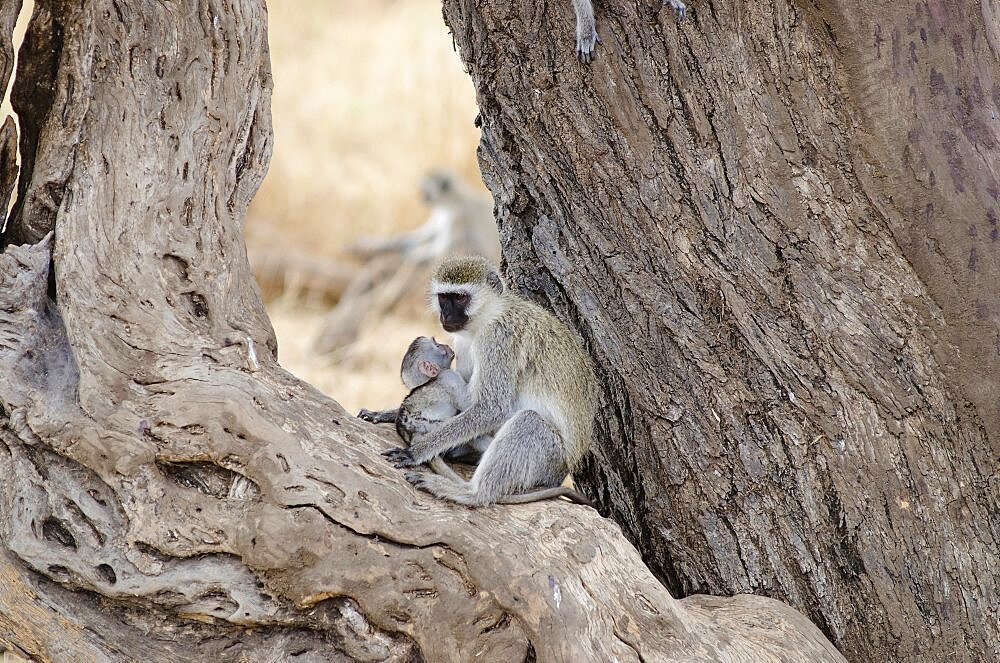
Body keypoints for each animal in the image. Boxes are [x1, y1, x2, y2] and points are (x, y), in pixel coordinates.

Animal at [360, 340, 592, 506]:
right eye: (437, 346)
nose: (447, 346)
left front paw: (381, 414)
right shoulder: (450, 377)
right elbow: (489, 408)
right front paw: (414, 452)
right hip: (551, 458)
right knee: (528, 420)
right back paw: (473, 494)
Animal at [384, 256, 596, 506]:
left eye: (460, 298)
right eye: (444, 297)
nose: (446, 316)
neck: (490, 315)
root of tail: (560, 473)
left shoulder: (497, 338)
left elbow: (491, 407)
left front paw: (417, 450)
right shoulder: (463, 342)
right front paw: (387, 413)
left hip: (549, 460)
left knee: (529, 421)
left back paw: (471, 493)